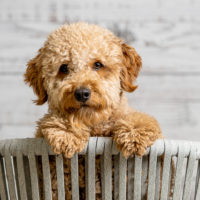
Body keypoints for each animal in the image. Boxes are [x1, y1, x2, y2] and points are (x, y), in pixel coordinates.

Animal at [24, 22, 162, 200]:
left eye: (98, 64)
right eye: (64, 68)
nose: (82, 93)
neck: (95, 125)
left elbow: (139, 119)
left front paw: (134, 134)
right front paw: (67, 133)